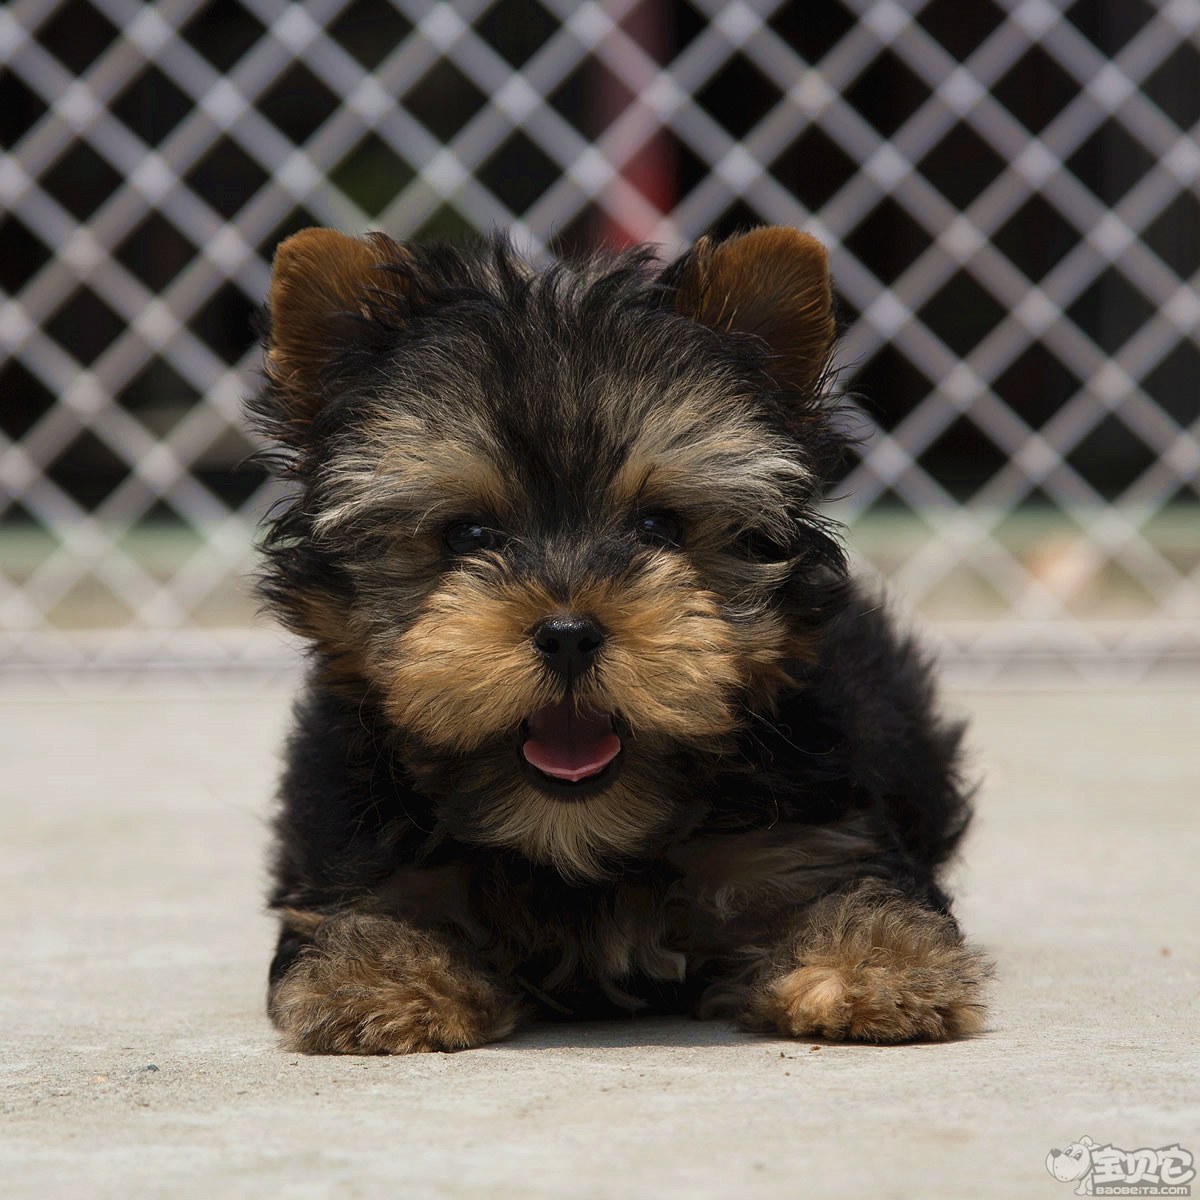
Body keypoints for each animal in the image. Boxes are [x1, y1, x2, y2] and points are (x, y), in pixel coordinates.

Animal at [248, 225, 988, 1051]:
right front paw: (383, 980)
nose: (569, 633)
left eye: (659, 527)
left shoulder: (813, 835)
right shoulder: (359, 851)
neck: (578, 843)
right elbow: (363, 916)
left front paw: (869, 968)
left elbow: (856, 889)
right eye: (466, 535)